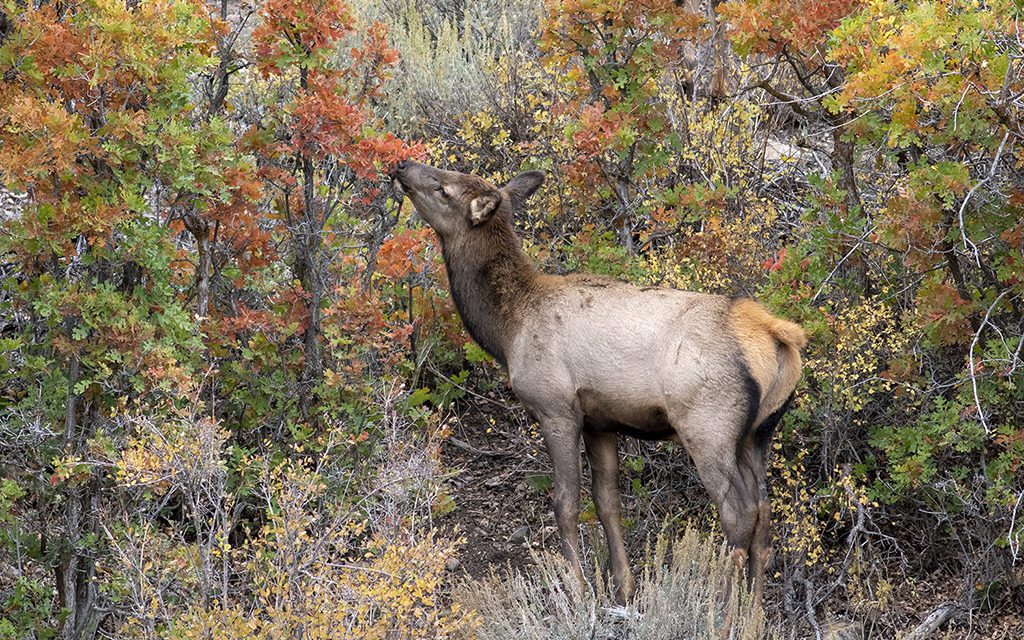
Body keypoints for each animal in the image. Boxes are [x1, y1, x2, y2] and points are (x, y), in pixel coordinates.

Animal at [391, 158, 806, 602]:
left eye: (444, 187)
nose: (402, 164)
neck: (507, 328)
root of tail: (779, 336)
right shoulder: (600, 421)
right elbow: (607, 502)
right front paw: (624, 588)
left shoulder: (555, 407)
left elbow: (566, 503)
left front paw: (578, 590)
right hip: (758, 434)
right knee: (764, 513)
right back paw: (753, 611)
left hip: (708, 426)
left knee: (738, 513)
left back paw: (724, 609)